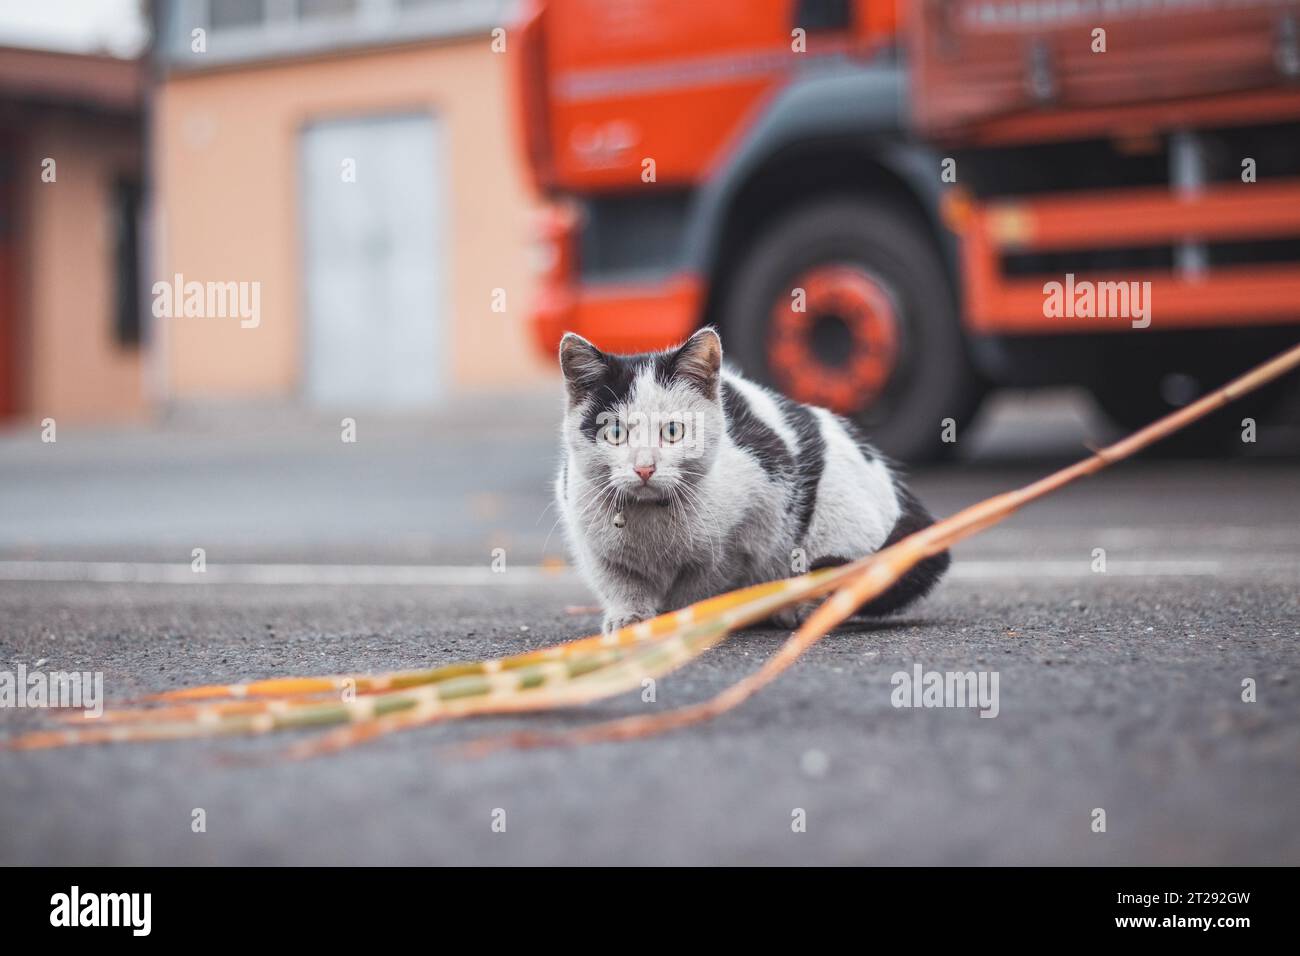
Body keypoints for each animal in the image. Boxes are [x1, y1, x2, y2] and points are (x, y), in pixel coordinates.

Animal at [553, 325, 951, 632]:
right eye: (615, 432)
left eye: (674, 431)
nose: (645, 467)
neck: (652, 519)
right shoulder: (590, 540)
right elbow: (619, 583)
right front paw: (629, 618)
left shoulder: (749, 525)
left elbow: (700, 584)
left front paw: (681, 617)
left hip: (839, 522)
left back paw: (795, 609)